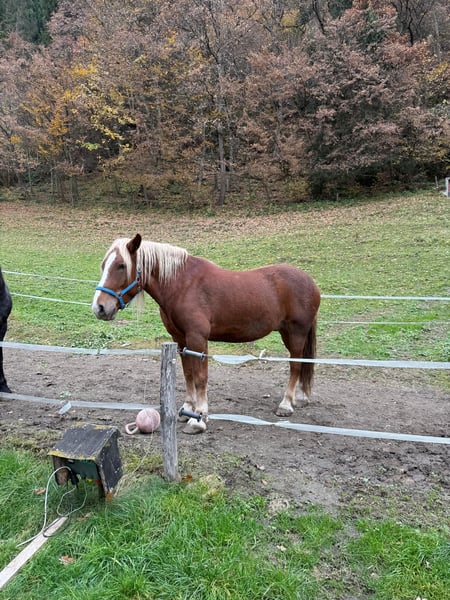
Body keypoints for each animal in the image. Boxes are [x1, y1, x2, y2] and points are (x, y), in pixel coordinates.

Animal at [92, 234, 321, 434]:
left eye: (121, 266)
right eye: (103, 265)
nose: (99, 307)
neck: (182, 285)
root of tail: (311, 282)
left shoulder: (198, 339)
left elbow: (201, 377)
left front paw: (199, 419)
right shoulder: (180, 340)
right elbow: (188, 374)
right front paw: (188, 409)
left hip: (296, 333)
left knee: (296, 365)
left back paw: (286, 404)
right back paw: (300, 398)